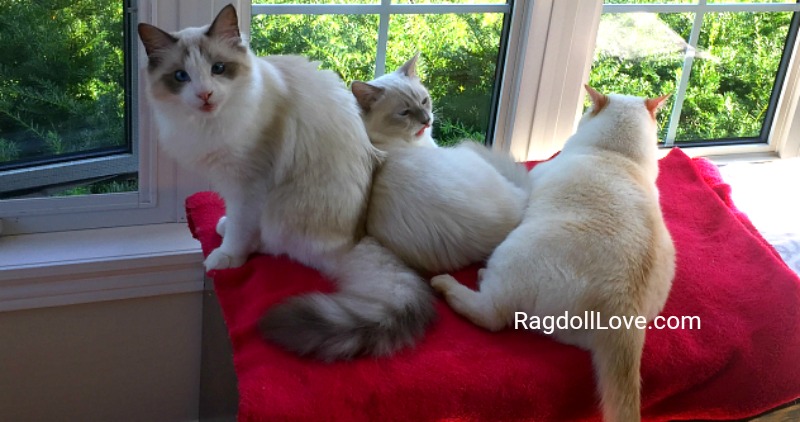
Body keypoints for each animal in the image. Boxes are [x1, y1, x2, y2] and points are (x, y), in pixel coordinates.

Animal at [140, 4, 434, 362]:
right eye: (181, 76)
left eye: (218, 69)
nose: (205, 95)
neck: (209, 125)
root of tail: (355, 237)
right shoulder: (228, 180)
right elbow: (233, 218)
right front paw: (224, 229)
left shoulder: (249, 184)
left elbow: (241, 227)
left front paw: (227, 256)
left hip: (282, 209)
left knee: (278, 244)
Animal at [432, 86, 676, 422]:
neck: (616, 155)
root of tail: (626, 312)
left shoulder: (532, 180)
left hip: (512, 252)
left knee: (492, 314)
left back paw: (451, 281)